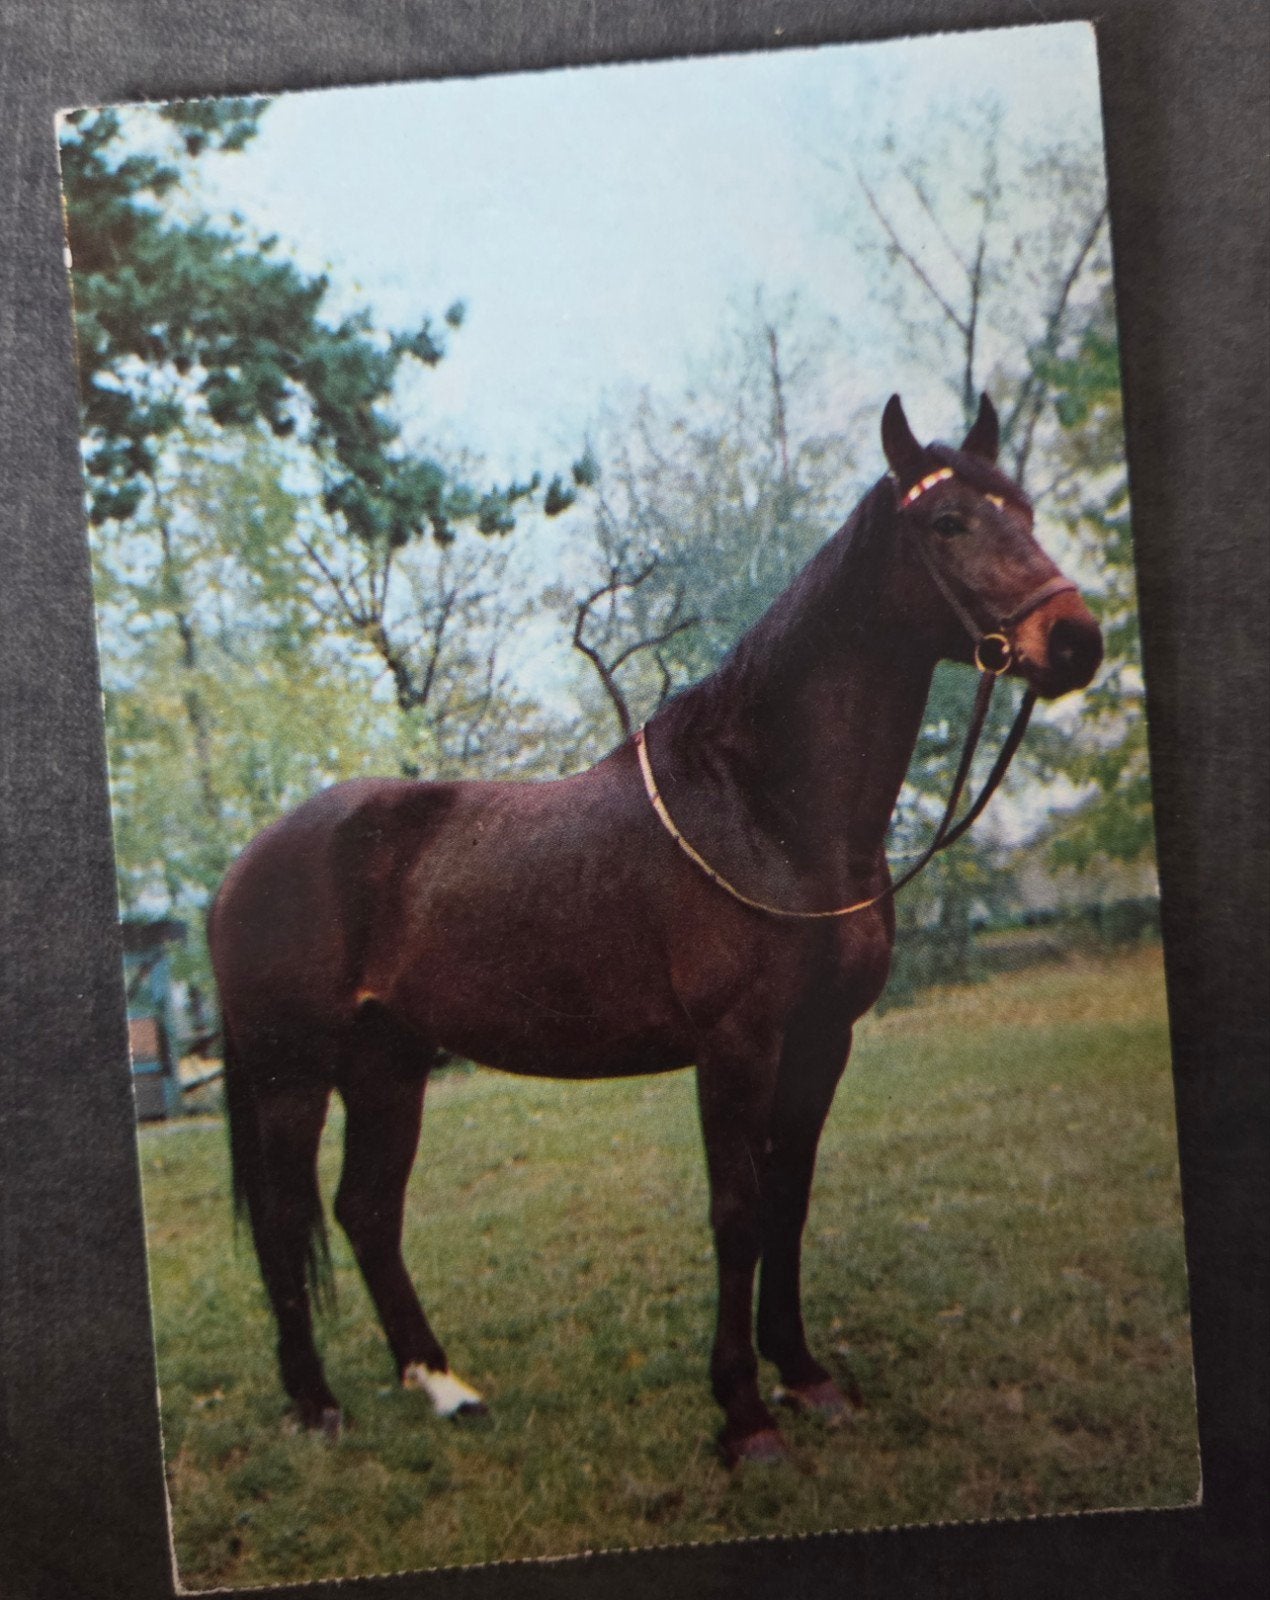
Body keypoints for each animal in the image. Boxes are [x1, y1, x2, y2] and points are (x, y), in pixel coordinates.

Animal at [209, 393, 1103, 1465]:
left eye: (1028, 511)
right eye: (949, 523)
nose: (1077, 640)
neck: (764, 807)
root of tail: (243, 868)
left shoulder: (822, 1041)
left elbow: (790, 1200)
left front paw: (803, 1374)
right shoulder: (735, 1047)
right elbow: (737, 1212)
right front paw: (745, 1414)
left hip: (389, 1063)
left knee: (367, 1211)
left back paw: (444, 1388)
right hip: (292, 1075)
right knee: (281, 1220)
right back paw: (315, 1407)